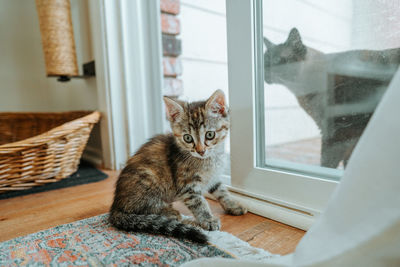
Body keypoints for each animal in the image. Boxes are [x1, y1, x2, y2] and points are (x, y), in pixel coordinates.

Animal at [108, 90, 247, 245]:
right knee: (141, 209)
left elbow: (221, 191)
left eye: (210, 135)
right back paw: (169, 212)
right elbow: (199, 202)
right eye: (188, 138)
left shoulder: (214, 177)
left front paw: (233, 205)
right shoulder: (187, 186)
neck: (209, 159)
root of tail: (115, 206)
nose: (200, 151)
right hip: (150, 179)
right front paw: (208, 219)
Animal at [264, 27, 398, 170]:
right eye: (264, 60)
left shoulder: (336, 134)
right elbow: (344, 163)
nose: (264, 72)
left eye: (276, 61)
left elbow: (327, 163)